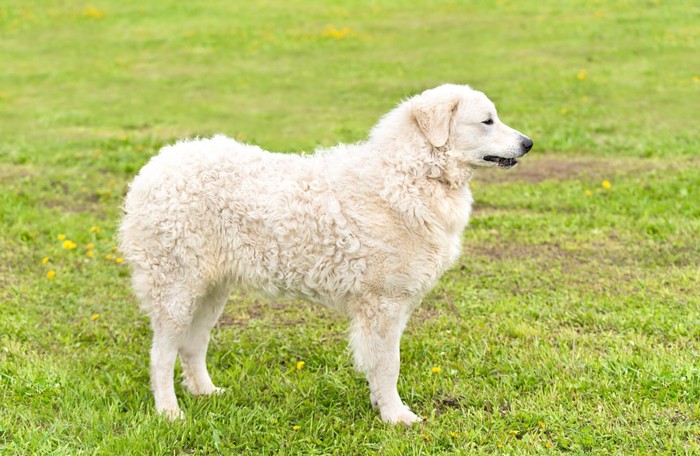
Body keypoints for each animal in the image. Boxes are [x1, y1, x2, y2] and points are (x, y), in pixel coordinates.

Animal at [120, 84, 532, 424]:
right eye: (487, 121)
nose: (528, 143)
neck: (412, 174)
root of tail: (156, 166)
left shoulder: (394, 305)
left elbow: (381, 364)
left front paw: (381, 406)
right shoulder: (383, 304)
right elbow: (389, 364)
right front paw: (396, 417)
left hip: (210, 290)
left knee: (192, 345)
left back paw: (207, 393)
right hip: (176, 288)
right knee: (161, 355)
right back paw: (169, 412)